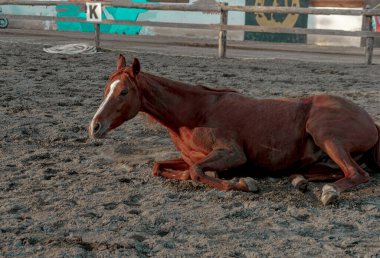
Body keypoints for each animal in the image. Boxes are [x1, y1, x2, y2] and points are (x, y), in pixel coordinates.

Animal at [87, 54, 378, 206]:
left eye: (123, 92)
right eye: (106, 89)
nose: (94, 126)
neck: (195, 114)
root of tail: (372, 122)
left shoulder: (233, 154)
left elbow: (197, 172)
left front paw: (242, 183)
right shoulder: (189, 157)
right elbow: (161, 167)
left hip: (325, 134)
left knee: (356, 174)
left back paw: (329, 192)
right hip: (319, 158)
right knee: (333, 172)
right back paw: (298, 180)